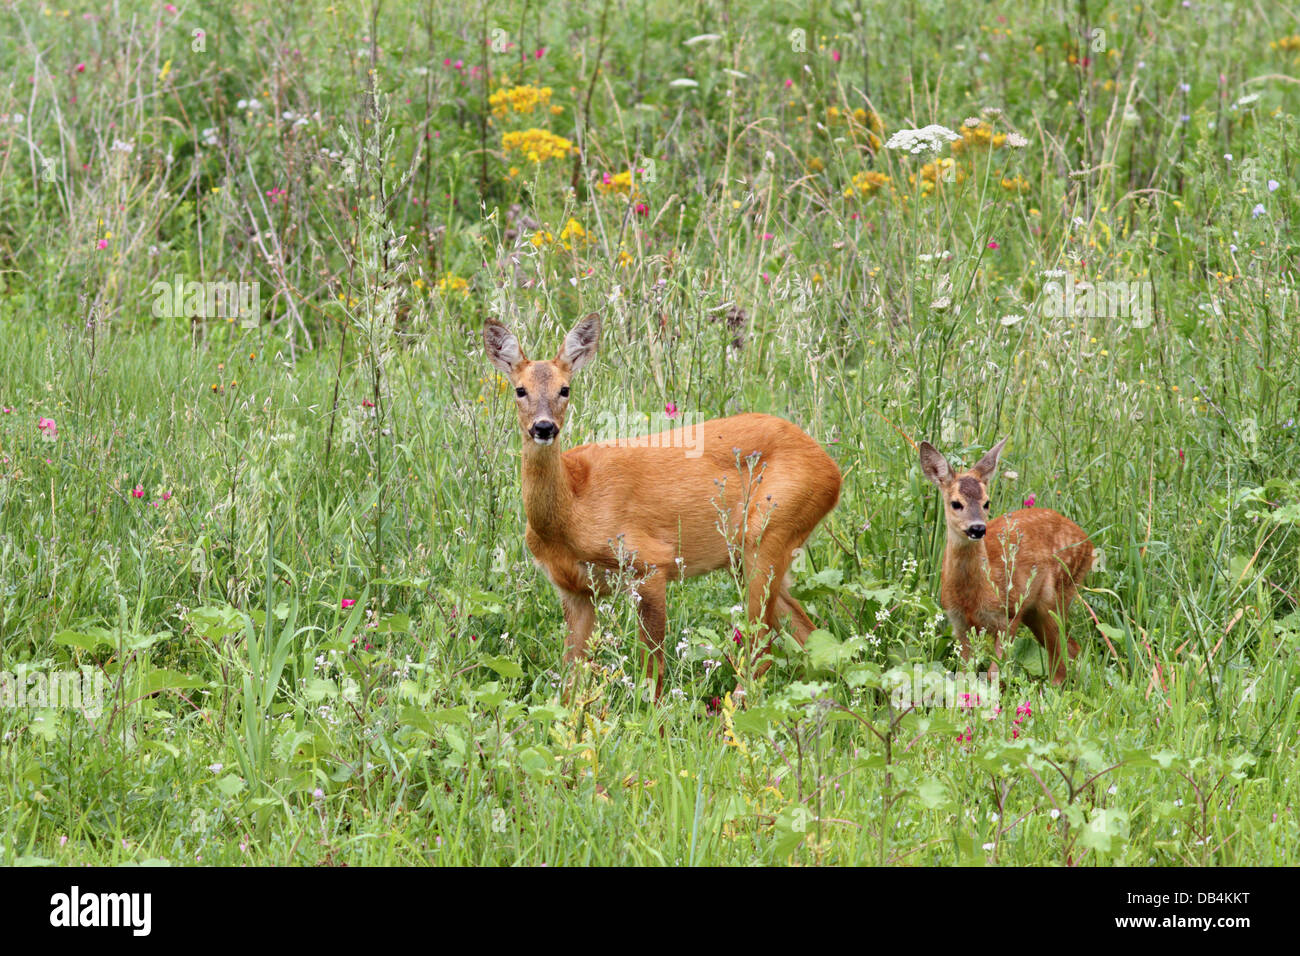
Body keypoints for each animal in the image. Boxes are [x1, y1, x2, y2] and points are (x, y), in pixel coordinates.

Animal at [486, 317, 842, 697]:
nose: (543, 427)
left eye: (565, 389)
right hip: (749, 554)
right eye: (520, 390)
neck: (572, 511)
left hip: (769, 531)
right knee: (809, 635)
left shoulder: (650, 563)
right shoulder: (575, 591)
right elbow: (572, 680)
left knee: (760, 649)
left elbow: (652, 669)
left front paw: (651, 712)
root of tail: (832, 471)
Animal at [920, 437, 1092, 691]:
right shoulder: (959, 623)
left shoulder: (1008, 615)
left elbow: (995, 673)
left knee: (1061, 655)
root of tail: (1089, 543)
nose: (977, 528)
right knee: (1071, 648)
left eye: (986, 502)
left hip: (1057, 594)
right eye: (955, 503)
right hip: (1035, 611)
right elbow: (964, 674)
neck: (973, 596)